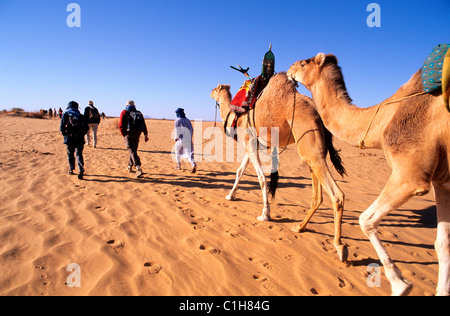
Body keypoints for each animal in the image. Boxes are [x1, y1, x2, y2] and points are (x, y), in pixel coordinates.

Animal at [211, 72, 348, 262]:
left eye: (215, 89)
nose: (210, 93)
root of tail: (317, 111)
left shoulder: (250, 142)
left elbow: (261, 178)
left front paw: (265, 214)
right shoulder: (251, 145)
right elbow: (239, 171)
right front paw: (230, 195)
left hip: (309, 140)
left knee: (336, 194)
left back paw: (339, 246)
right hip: (310, 146)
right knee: (317, 192)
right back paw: (300, 227)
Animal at [288, 53, 450, 298]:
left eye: (304, 63)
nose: (289, 69)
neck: (384, 118)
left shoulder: (411, 175)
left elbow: (365, 220)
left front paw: (399, 284)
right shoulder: (442, 182)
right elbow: (442, 244)